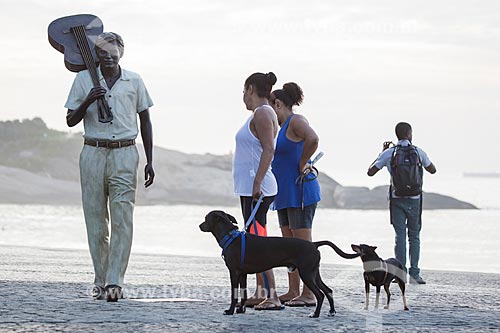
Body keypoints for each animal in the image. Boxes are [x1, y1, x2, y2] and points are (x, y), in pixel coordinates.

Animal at [199, 210, 360, 316]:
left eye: (206, 218)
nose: (200, 226)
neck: (230, 237)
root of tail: (314, 244)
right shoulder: (243, 274)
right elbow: (243, 294)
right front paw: (240, 310)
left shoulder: (234, 272)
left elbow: (234, 294)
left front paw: (230, 311)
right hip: (314, 273)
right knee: (328, 290)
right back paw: (332, 311)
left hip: (306, 274)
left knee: (320, 295)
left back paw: (315, 314)